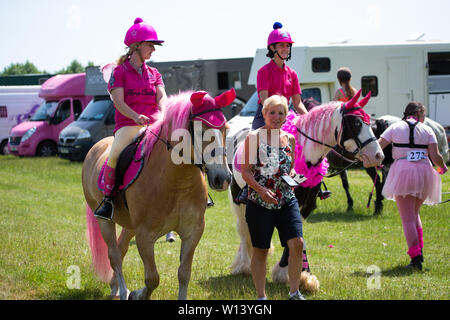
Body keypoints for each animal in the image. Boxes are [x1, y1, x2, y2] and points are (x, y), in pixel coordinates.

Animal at [82, 88, 236, 300]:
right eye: (201, 131)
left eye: (225, 129)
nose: (224, 178)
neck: (177, 181)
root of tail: (95, 148)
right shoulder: (145, 236)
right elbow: (152, 278)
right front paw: (138, 294)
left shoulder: (193, 232)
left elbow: (184, 274)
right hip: (105, 221)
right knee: (114, 255)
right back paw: (123, 290)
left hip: (129, 224)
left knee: (120, 249)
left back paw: (115, 286)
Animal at [229, 89, 384, 292]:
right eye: (357, 123)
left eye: (369, 123)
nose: (379, 155)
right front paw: (286, 273)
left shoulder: (305, 206)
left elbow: (296, 236)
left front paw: (303, 275)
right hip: (238, 203)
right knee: (243, 231)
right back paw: (243, 265)